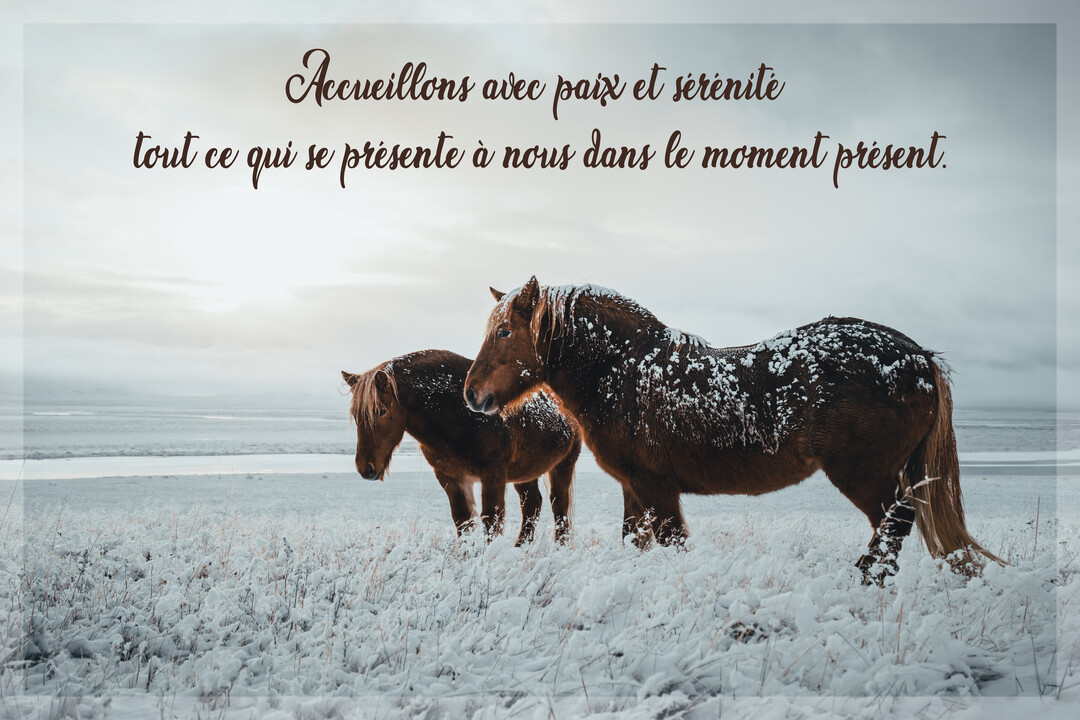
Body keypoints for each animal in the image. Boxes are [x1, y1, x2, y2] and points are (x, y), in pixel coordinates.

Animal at [343, 349, 581, 545]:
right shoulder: (450, 477)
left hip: (563, 465)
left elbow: (491, 522)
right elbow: (463, 522)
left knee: (559, 506)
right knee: (532, 504)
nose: (365, 468)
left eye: (381, 411)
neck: (459, 413)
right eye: (355, 415)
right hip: (525, 472)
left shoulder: (492, 475)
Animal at [463, 277, 1003, 582]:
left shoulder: (657, 487)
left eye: (505, 332)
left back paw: (866, 581)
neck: (626, 371)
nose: (471, 394)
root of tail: (919, 357)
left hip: (864, 475)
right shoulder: (635, 489)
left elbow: (672, 543)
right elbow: (636, 543)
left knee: (895, 524)